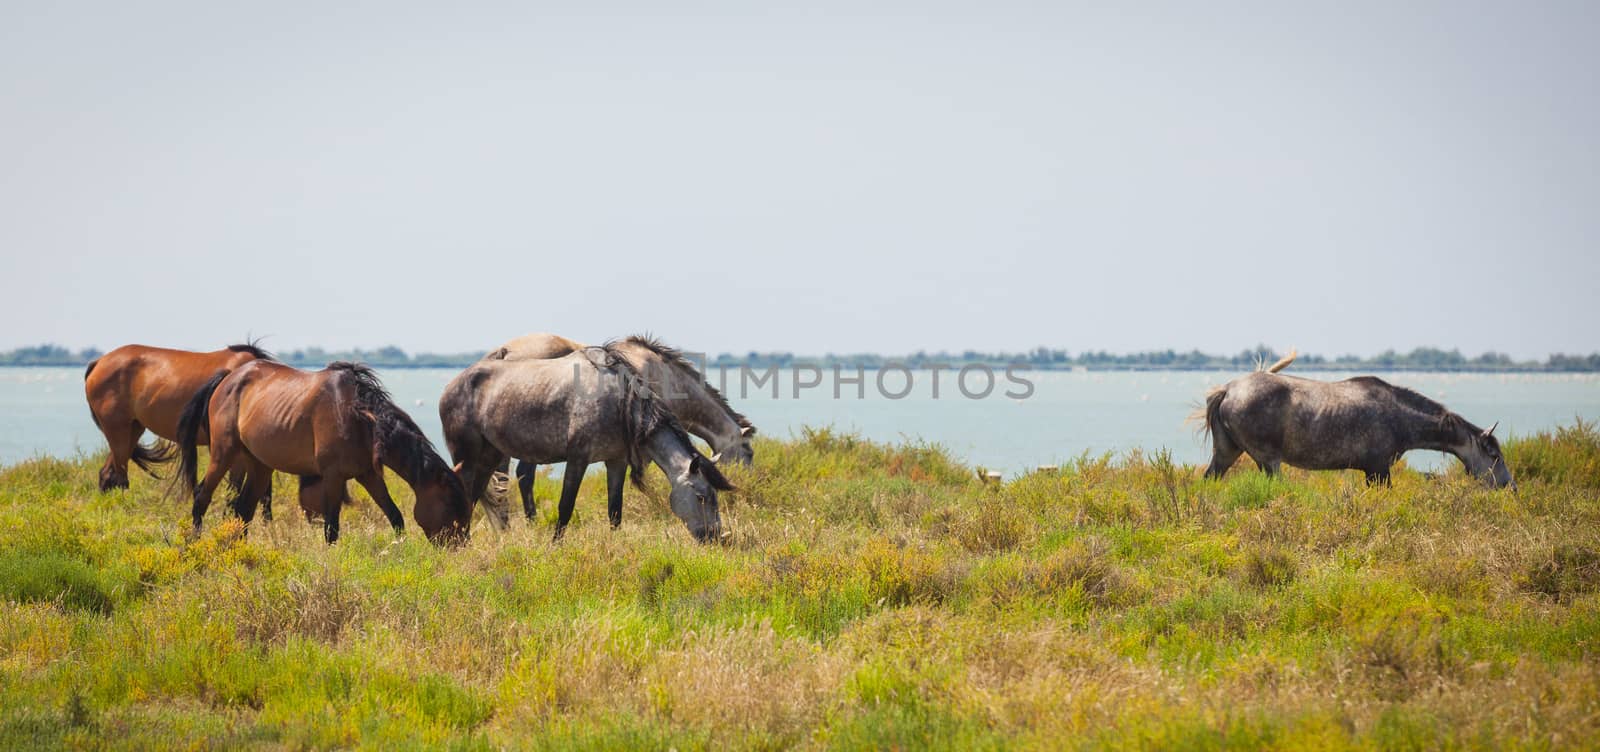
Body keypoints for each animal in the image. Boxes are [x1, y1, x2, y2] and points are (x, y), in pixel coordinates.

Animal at [85, 342, 270, 499]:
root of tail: (98, 362)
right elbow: (238, 489)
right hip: (118, 431)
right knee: (119, 477)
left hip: (132, 430)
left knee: (108, 474)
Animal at [180, 360, 470, 544]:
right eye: (450, 504)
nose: (459, 545)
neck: (359, 417)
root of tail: (227, 378)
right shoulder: (333, 476)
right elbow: (331, 528)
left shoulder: (368, 474)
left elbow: (395, 515)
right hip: (224, 453)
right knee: (202, 496)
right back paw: (193, 544)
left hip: (260, 465)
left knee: (243, 509)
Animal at [441, 344, 732, 544]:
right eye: (701, 496)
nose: (717, 538)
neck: (620, 402)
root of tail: (451, 386)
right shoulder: (578, 460)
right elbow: (565, 507)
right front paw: (555, 547)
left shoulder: (616, 461)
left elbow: (615, 510)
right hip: (468, 458)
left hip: (488, 458)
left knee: (475, 496)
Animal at [1203, 352, 1510, 486]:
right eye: (1494, 456)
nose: (1511, 487)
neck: (1397, 417)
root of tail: (1228, 389)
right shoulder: (1378, 470)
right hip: (1268, 461)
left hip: (1227, 452)